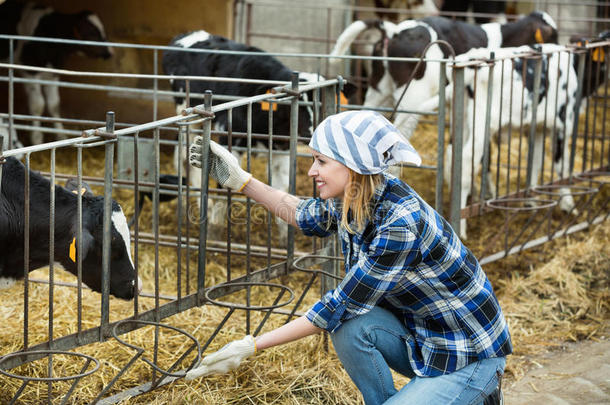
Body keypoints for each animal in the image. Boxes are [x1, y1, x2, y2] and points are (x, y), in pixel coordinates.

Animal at [0, 0, 113, 145]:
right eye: (91, 31)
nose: (109, 52)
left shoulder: (53, 73)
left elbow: (54, 104)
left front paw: (60, 135)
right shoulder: (30, 72)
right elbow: (38, 105)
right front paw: (37, 138)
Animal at [160, 30, 324, 240]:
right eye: (297, 104)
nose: (309, 133)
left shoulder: (282, 149)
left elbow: (283, 189)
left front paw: (284, 236)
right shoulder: (230, 136)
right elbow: (223, 186)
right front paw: (213, 233)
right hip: (189, 117)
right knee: (182, 157)